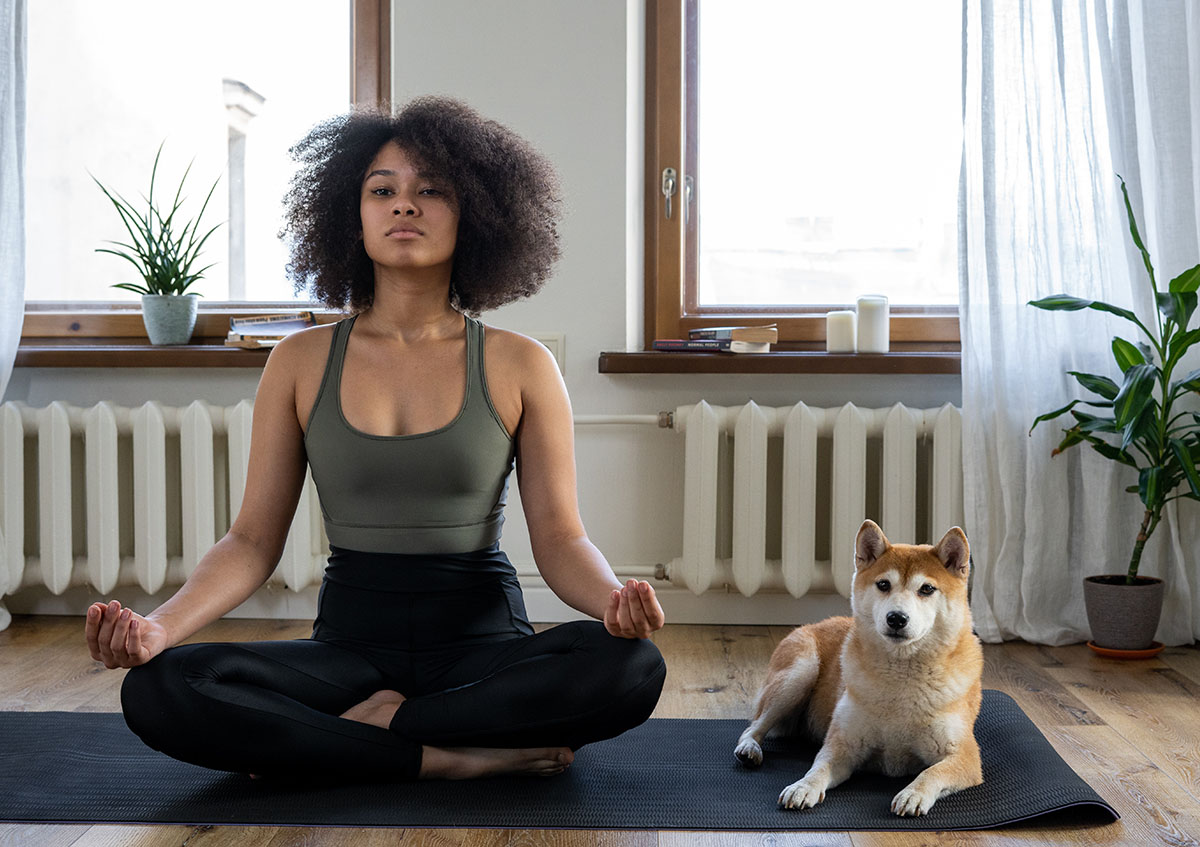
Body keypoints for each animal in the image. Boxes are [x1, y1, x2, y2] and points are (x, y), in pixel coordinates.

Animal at [729, 518, 984, 815]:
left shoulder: (965, 757)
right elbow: (817, 769)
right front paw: (802, 787)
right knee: (753, 726)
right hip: (799, 674)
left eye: (927, 589)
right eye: (883, 584)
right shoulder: (842, 745)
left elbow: (931, 773)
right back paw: (749, 748)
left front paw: (913, 794)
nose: (896, 618)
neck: (902, 678)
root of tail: (813, 624)